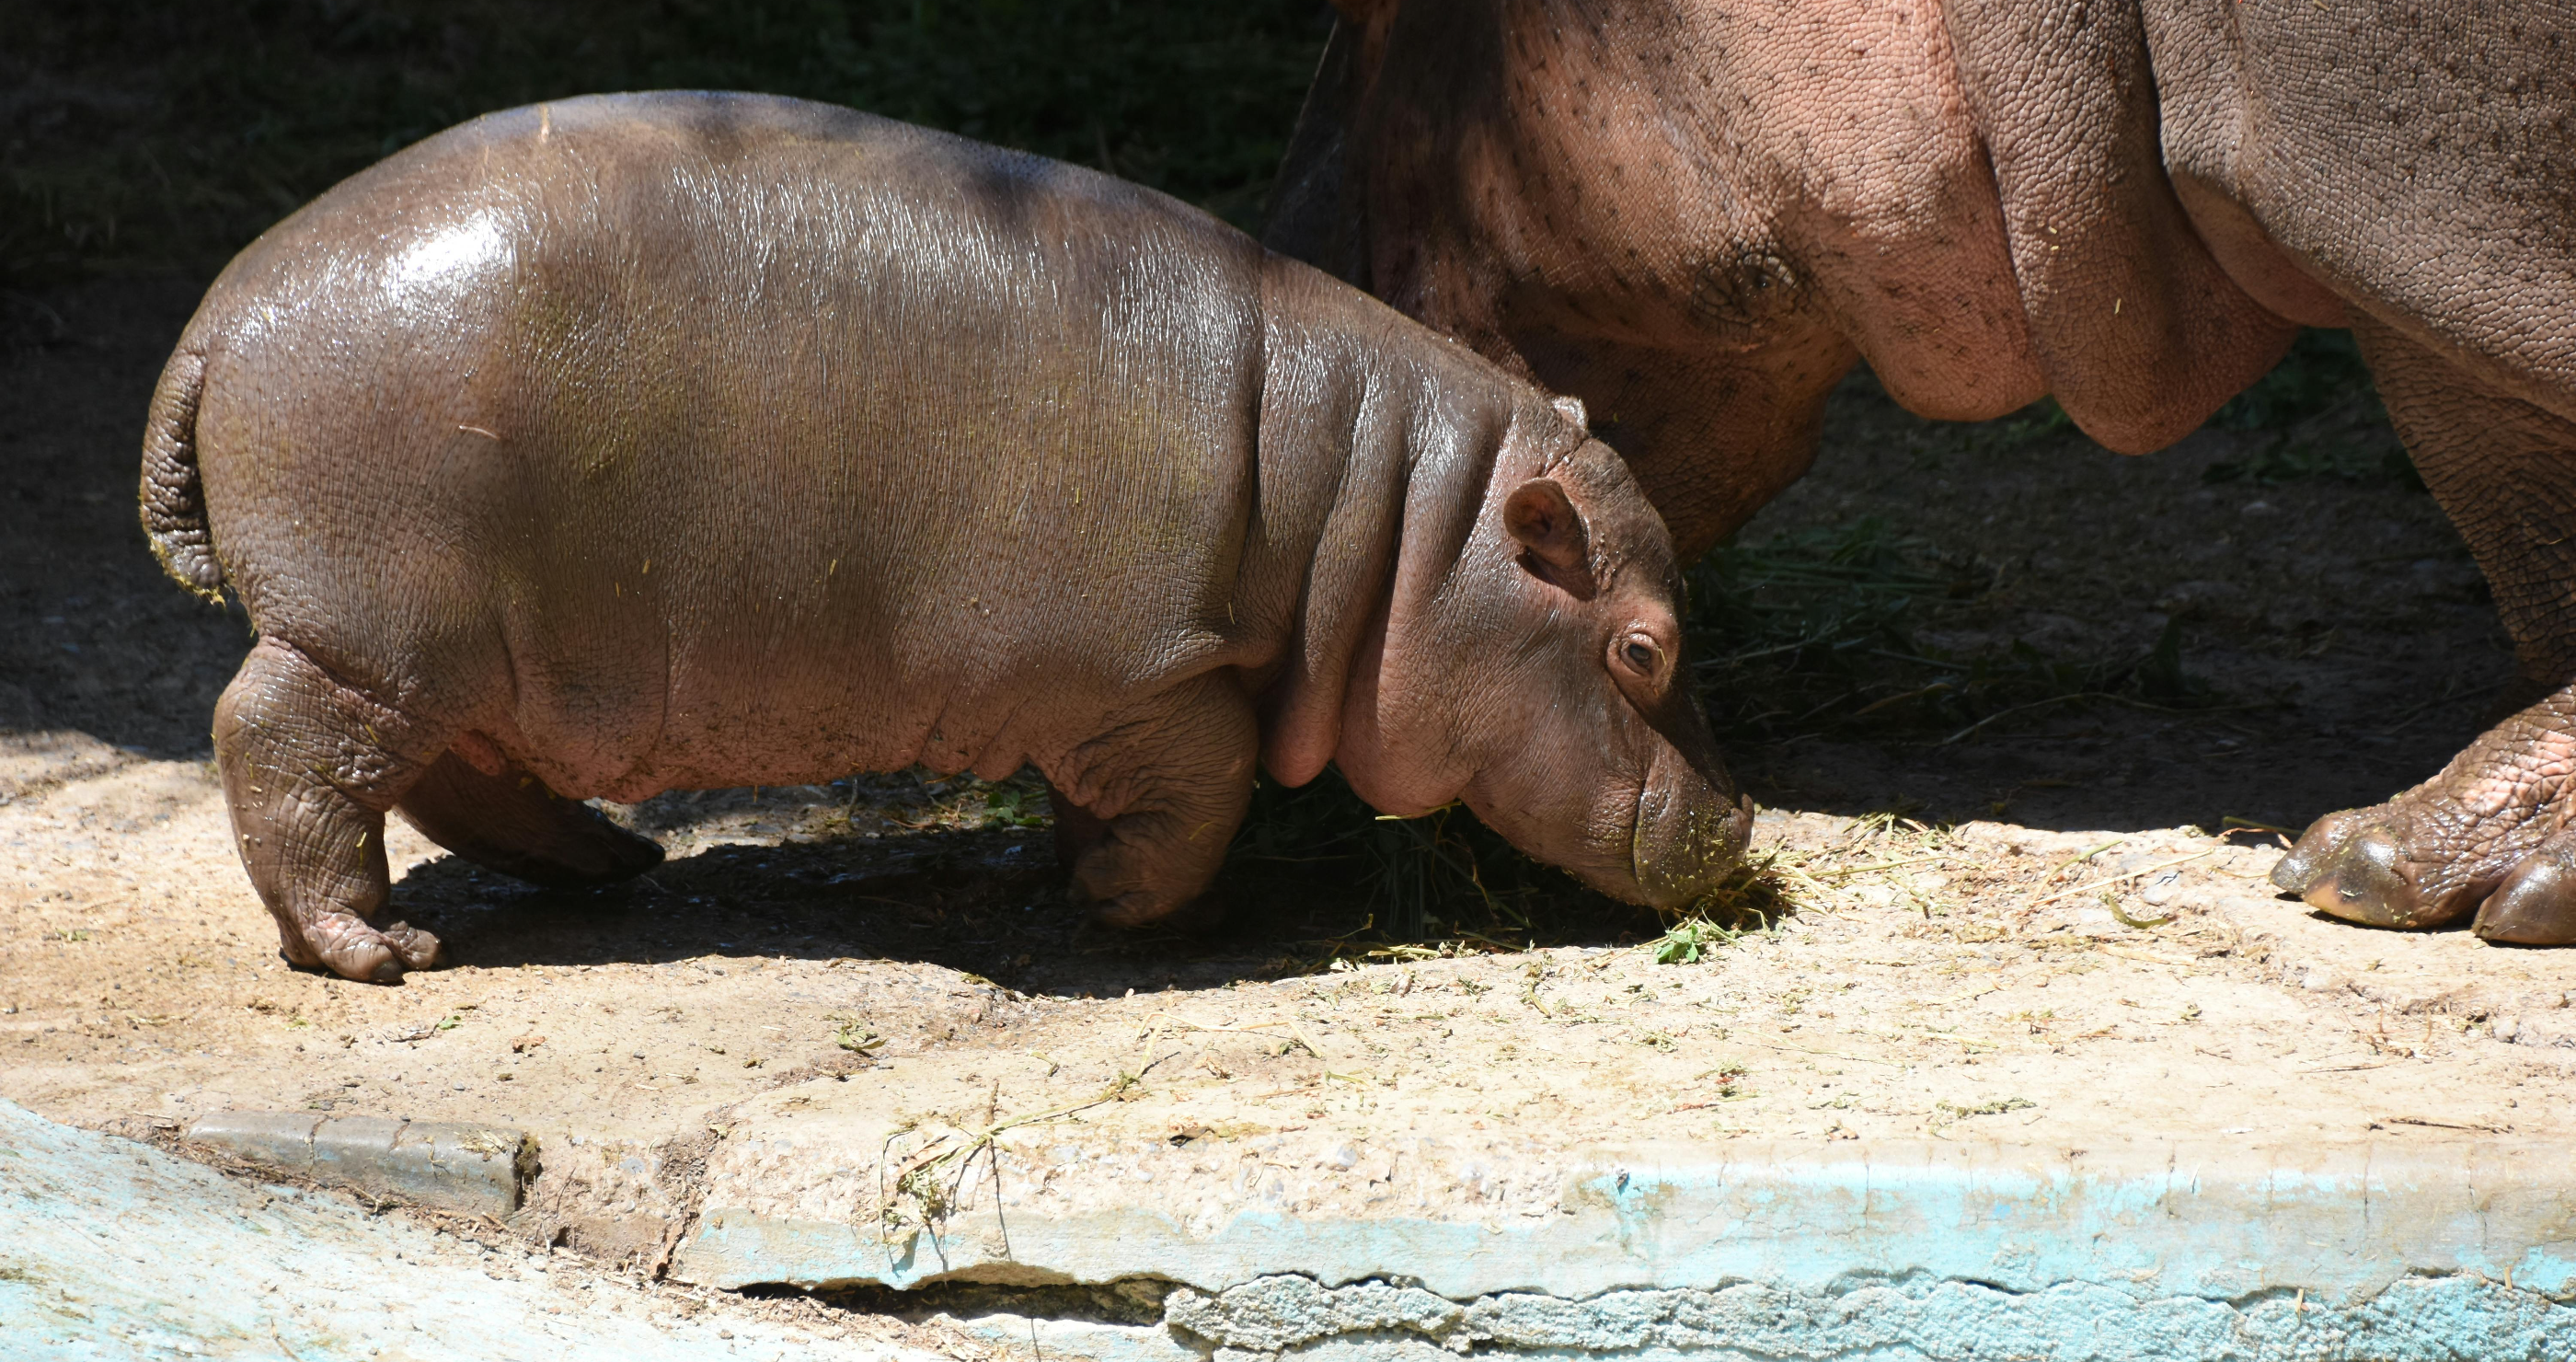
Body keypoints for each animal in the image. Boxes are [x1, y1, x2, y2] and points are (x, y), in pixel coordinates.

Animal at [141, 92, 1752, 978]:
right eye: (1643, 645)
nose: (1743, 825)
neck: (1394, 518)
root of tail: (217, 314)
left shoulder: (1115, 696)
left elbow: (1132, 792)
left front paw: (1080, 876)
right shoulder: (1141, 670)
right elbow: (1207, 785)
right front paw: (1117, 905)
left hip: (476, 649)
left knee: (453, 776)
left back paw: (613, 868)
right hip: (374, 634)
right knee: (280, 744)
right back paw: (378, 953)